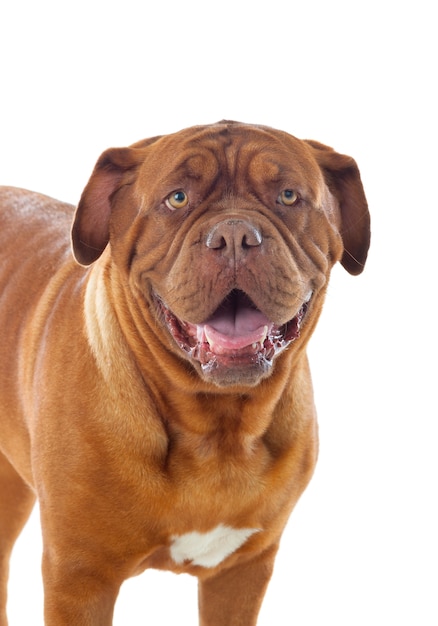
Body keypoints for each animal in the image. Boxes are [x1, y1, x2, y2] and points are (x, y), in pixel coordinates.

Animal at [0, 119, 370, 620]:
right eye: (177, 198)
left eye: (288, 196)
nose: (234, 236)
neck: (217, 427)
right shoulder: (78, 579)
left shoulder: (242, 572)